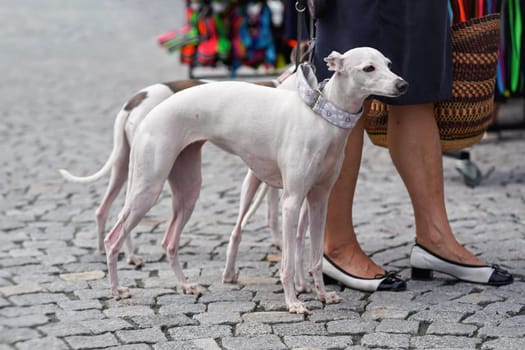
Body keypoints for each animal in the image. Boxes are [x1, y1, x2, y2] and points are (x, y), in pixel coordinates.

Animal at [101, 47, 406, 314]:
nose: (403, 85)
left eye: (389, 64)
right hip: (148, 188)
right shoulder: (292, 200)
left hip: (188, 190)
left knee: (169, 241)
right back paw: (117, 290)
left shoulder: (319, 199)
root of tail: (143, 111)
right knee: (113, 238)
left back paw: (186, 285)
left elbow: (317, 257)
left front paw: (322, 295)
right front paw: (293, 303)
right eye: (368, 68)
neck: (320, 118)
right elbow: (287, 261)